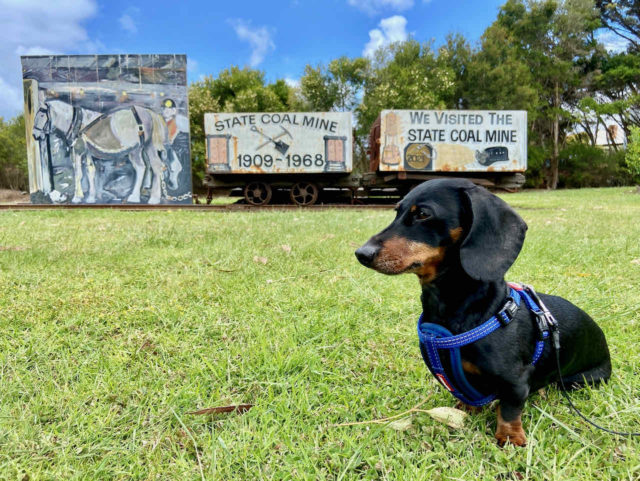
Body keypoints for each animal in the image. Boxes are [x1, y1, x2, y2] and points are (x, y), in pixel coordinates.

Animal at [356, 179, 608, 446]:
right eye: (397, 211)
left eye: (423, 214)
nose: (362, 253)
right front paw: (466, 411)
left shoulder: (516, 381)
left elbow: (509, 409)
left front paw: (510, 437)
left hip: (578, 381)